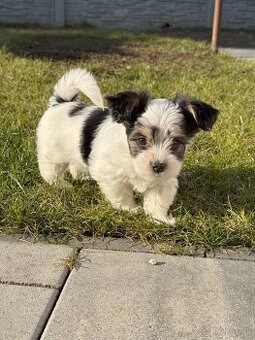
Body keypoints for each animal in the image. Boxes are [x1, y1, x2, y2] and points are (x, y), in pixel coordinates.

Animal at [36, 68, 218, 224]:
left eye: (176, 142)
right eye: (142, 140)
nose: (158, 166)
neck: (132, 159)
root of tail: (62, 102)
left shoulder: (164, 179)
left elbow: (158, 198)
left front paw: (160, 219)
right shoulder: (111, 174)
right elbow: (121, 193)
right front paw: (129, 209)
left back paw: (82, 176)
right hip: (52, 152)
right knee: (51, 169)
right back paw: (60, 185)